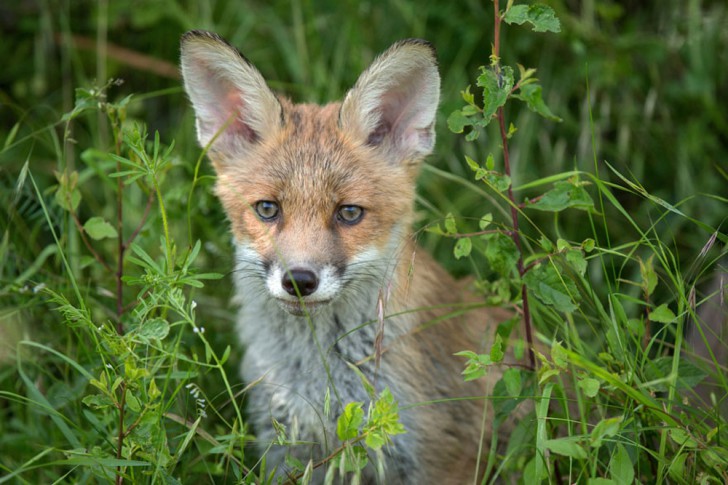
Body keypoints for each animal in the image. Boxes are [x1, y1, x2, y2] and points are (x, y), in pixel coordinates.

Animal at [179, 31, 528, 484]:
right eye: (268, 209)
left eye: (349, 213)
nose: (299, 281)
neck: (320, 379)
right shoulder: (286, 448)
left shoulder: (442, 458)